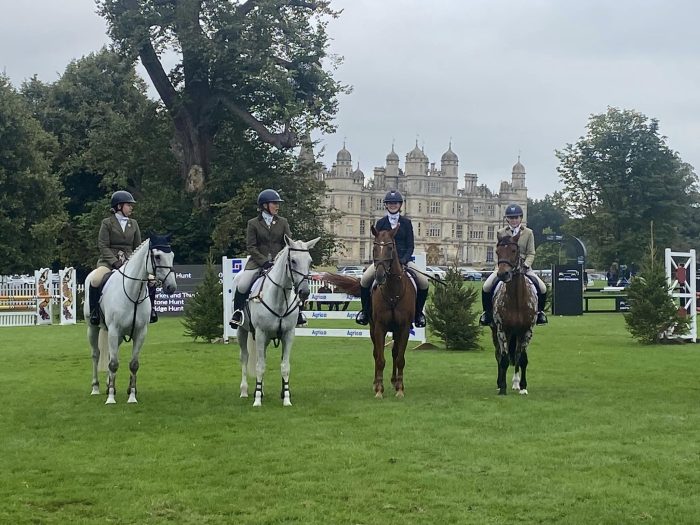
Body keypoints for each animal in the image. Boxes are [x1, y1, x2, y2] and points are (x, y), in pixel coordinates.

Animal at [85, 234, 178, 406]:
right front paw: (111, 399)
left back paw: (109, 385)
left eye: (172, 255)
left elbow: (133, 364)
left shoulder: (140, 333)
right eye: (157, 256)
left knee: (109, 355)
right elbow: (113, 364)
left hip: (119, 336)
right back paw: (96, 388)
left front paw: (132, 395)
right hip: (93, 328)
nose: (171, 287)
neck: (133, 293)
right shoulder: (114, 330)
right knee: (96, 354)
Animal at [235, 235, 322, 408]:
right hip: (243, 331)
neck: (280, 298)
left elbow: (285, 366)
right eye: (293, 261)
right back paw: (245, 391)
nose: (304, 292)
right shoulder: (260, 333)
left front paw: (286, 398)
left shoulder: (288, 335)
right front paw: (257, 400)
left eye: (309, 261)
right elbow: (260, 366)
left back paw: (260, 390)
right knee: (245, 357)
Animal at [324, 224, 416, 398]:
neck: (392, 291)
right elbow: (380, 359)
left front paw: (400, 388)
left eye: (390, 247)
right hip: (373, 328)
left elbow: (400, 358)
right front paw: (379, 389)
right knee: (376, 353)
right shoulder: (379, 327)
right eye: (374, 247)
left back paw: (394, 381)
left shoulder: (404, 328)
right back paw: (376, 383)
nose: (379, 276)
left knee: (394, 353)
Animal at [490, 232, 540, 392]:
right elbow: (504, 359)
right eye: (497, 251)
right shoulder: (502, 330)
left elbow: (522, 358)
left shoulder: (527, 330)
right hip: (496, 331)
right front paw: (502, 387)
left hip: (517, 334)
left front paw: (523, 386)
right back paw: (499, 383)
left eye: (513, 250)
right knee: (498, 355)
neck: (517, 300)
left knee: (517, 354)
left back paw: (516, 383)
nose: (503, 274)